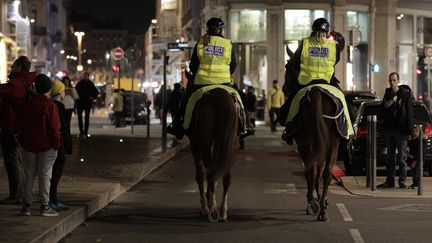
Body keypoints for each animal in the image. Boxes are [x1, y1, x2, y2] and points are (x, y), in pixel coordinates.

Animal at [186, 87, 240, 222]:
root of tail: (218, 92)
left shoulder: (195, 146)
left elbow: (199, 176)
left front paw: (204, 206)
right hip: (232, 144)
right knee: (225, 175)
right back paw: (222, 211)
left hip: (205, 143)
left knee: (210, 172)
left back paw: (212, 207)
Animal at [286, 45, 342, 222]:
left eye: (286, 67)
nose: (284, 89)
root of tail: (317, 90)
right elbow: (320, 171)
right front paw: (320, 198)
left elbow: (314, 170)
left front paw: (314, 198)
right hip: (332, 144)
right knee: (327, 173)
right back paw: (322, 208)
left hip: (306, 143)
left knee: (310, 169)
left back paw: (313, 202)